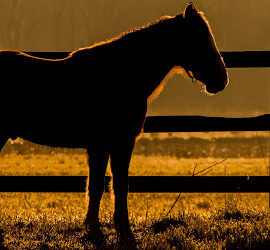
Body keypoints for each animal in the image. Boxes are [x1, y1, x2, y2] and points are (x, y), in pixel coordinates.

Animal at [0, 2, 228, 236]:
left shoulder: (102, 146)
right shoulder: (115, 143)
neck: (118, 75)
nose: (221, 79)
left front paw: (99, 224)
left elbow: (103, 185)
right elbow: (111, 185)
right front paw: (113, 226)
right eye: (199, 38)